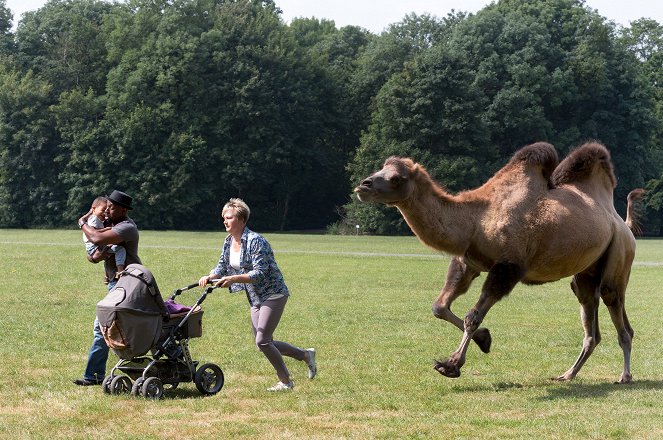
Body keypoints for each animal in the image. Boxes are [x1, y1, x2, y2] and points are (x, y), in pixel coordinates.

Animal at [356, 143, 644, 384]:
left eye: (396, 178)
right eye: (381, 168)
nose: (363, 185)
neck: (476, 220)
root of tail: (622, 223)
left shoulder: (508, 266)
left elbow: (473, 316)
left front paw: (451, 364)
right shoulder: (467, 262)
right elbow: (439, 307)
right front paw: (484, 339)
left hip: (619, 254)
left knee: (615, 305)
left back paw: (625, 376)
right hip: (585, 272)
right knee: (590, 317)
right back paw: (567, 374)